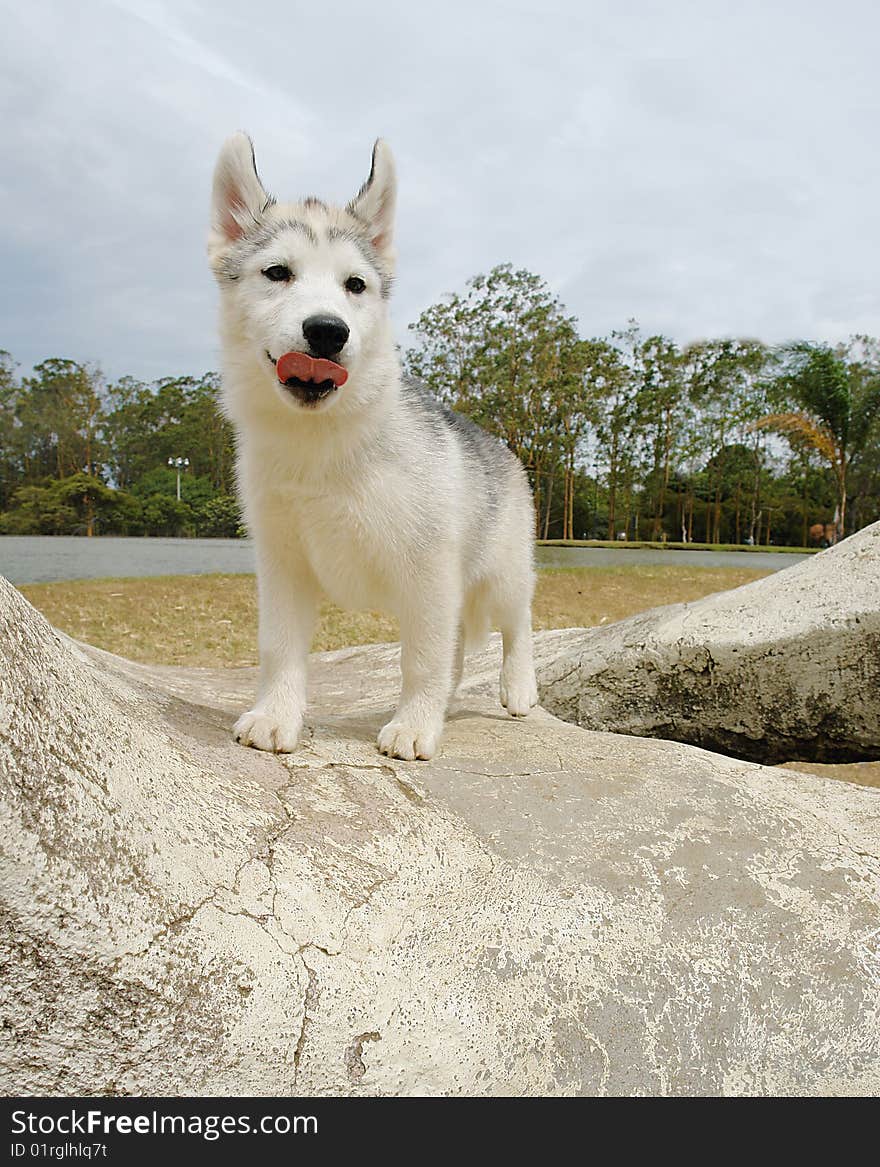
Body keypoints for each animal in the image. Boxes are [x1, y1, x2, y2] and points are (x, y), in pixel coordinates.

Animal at [207, 136, 534, 760]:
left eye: (355, 285)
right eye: (277, 273)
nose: (326, 331)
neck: (321, 446)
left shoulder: (429, 573)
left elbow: (423, 660)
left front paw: (416, 724)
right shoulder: (282, 563)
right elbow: (280, 648)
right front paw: (276, 715)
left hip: (502, 573)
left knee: (518, 622)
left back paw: (518, 686)